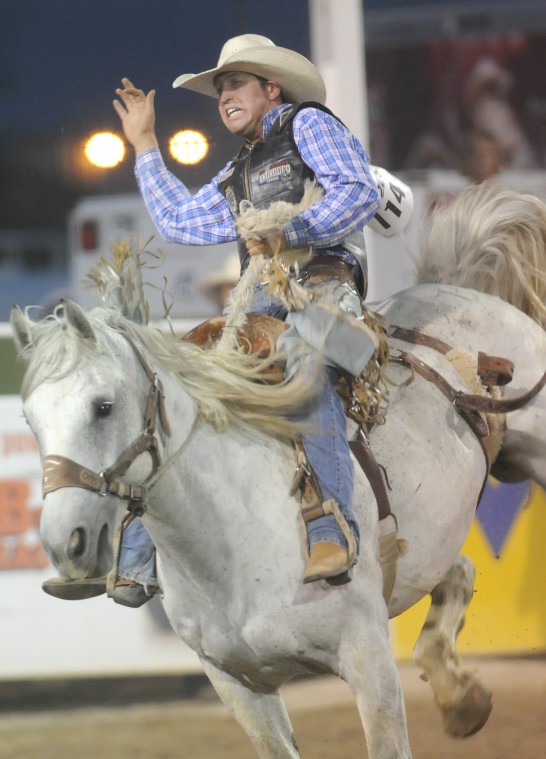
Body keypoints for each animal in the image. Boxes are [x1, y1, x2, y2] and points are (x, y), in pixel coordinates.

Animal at [10, 184, 544, 759]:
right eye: (30, 419)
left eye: (103, 406)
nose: (65, 541)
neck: (229, 540)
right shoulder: (237, 683)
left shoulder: (368, 658)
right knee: (459, 571)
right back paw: (461, 698)